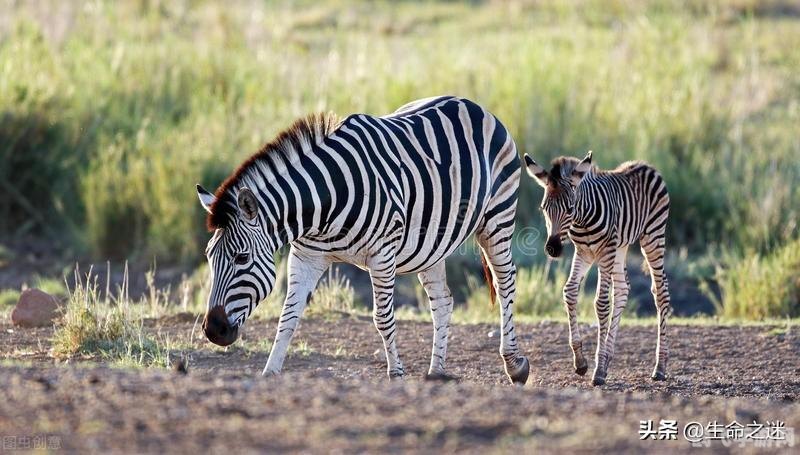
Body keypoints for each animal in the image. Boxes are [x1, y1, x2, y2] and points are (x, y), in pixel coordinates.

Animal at [520, 151, 672, 386]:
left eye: (569, 209)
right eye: (544, 209)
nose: (552, 249)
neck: (581, 221)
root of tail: (645, 165)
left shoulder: (604, 252)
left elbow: (601, 303)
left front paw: (598, 369)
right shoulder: (583, 252)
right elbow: (569, 292)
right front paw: (581, 361)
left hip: (652, 237)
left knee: (661, 292)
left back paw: (660, 367)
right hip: (621, 246)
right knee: (623, 290)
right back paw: (610, 358)